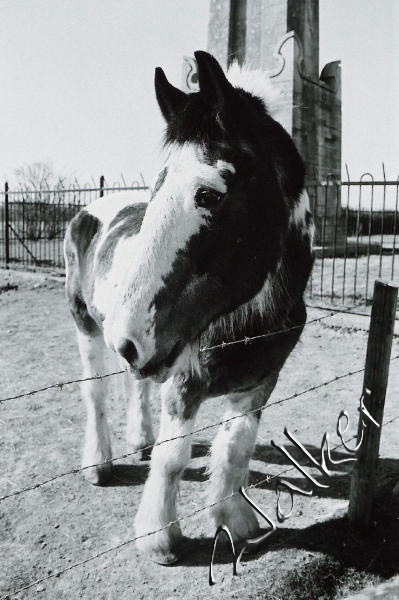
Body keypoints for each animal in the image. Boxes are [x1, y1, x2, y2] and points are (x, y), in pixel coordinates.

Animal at [64, 49, 316, 564]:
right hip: (88, 326)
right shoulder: (185, 381)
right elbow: (174, 456)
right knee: (95, 392)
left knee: (135, 384)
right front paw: (160, 538)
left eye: (207, 194)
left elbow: (236, 448)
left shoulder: (263, 378)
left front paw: (235, 524)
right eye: (157, 191)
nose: (128, 337)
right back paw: (98, 464)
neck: (246, 321)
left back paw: (138, 438)